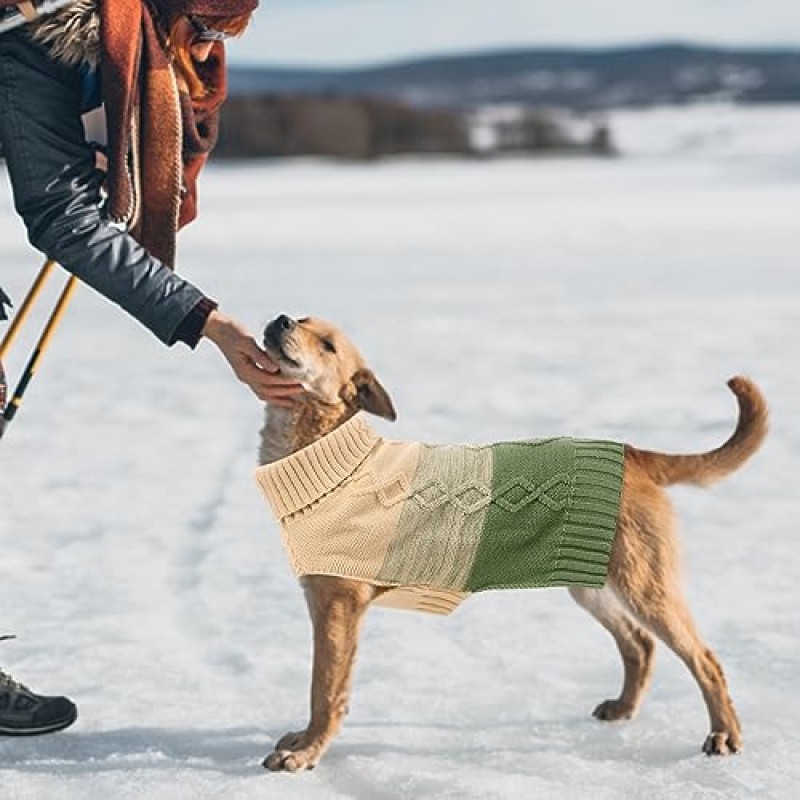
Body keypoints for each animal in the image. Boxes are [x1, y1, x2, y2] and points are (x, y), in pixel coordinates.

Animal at [256, 310, 768, 768]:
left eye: (328, 345)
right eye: (301, 317)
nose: (280, 319)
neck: (326, 451)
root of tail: (633, 455)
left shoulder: (339, 604)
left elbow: (325, 689)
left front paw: (306, 752)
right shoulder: (320, 600)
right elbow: (322, 685)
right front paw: (304, 740)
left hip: (644, 585)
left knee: (705, 659)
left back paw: (724, 733)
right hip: (590, 583)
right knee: (640, 645)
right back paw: (624, 708)